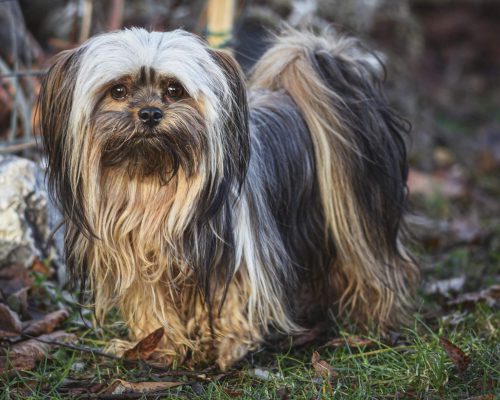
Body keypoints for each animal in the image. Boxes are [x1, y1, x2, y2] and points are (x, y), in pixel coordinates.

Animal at [39, 28, 418, 370]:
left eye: (174, 89)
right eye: (118, 90)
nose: (149, 113)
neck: (153, 183)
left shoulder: (237, 252)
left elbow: (235, 299)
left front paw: (230, 347)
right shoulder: (138, 259)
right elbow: (152, 306)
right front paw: (163, 348)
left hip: (360, 220)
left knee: (372, 267)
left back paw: (373, 320)